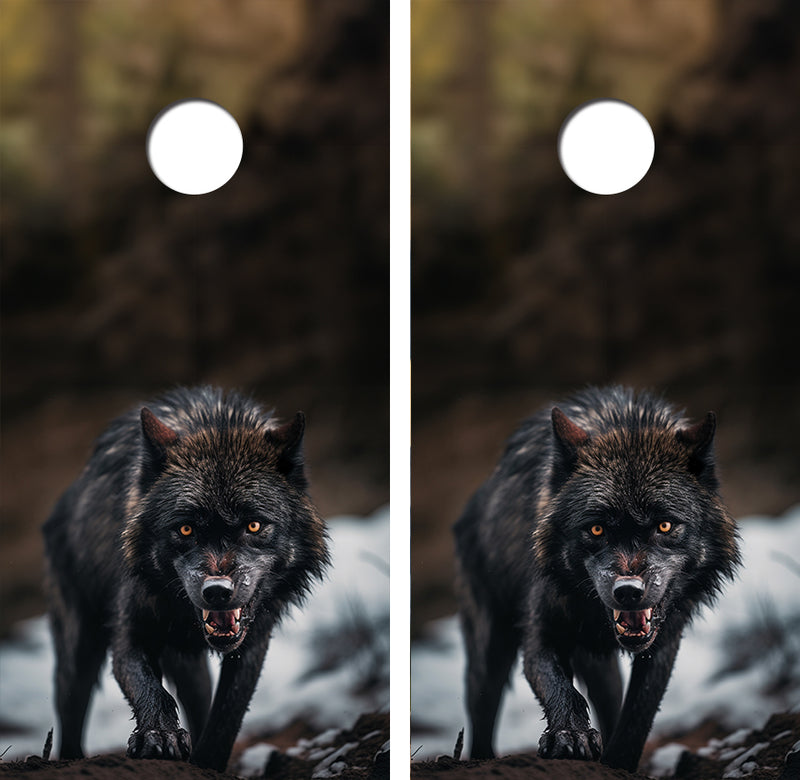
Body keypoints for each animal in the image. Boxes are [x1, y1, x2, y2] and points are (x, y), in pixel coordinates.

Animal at [43, 386, 329, 771]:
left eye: (254, 525)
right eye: (185, 528)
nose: (218, 592)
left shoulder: (253, 644)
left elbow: (226, 716)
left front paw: (206, 762)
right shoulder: (129, 633)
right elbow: (151, 689)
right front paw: (159, 735)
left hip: (189, 667)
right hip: (79, 651)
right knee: (71, 709)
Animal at [454, 386, 740, 772]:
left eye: (665, 525)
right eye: (596, 528)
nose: (629, 592)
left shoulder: (664, 644)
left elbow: (637, 716)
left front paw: (616, 763)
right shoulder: (540, 634)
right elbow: (561, 688)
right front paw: (569, 735)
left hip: (601, 668)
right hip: (489, 652)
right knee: (482, 711)